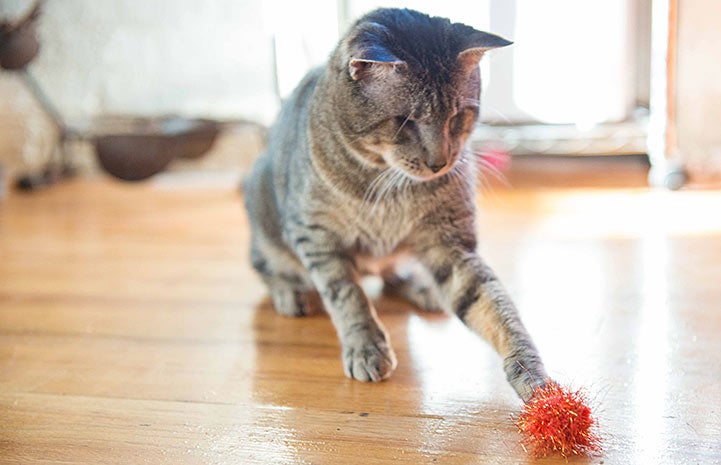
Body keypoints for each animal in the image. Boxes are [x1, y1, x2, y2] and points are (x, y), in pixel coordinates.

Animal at [245, 6, 548, 398]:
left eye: (458, 116)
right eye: (405, 122)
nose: (440, 162)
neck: (388, 184)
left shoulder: (450, 243)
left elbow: (493, 306)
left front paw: (531, 372)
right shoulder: (315, 236)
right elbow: (347, 295)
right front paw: (365, 346)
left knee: (392, 274)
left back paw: (421, 288)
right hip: (263, 217)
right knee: (266, 266)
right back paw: (289, 293)